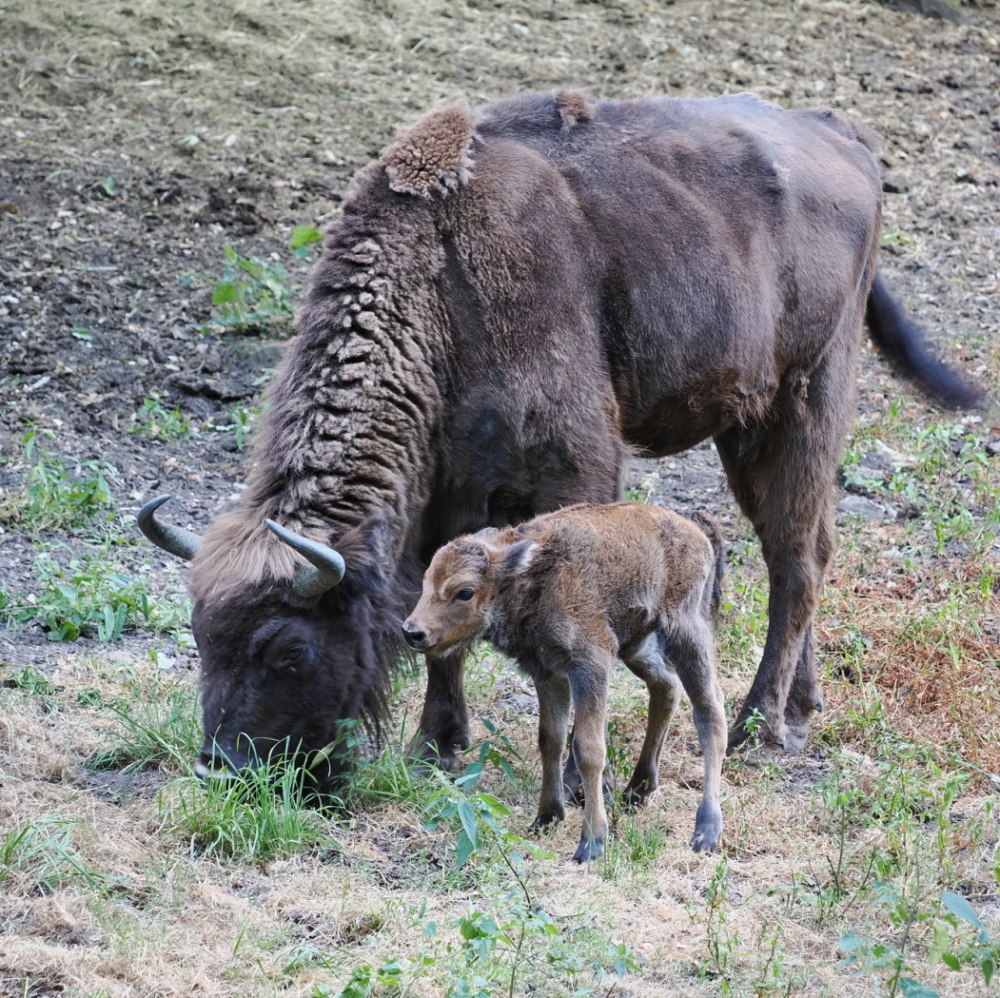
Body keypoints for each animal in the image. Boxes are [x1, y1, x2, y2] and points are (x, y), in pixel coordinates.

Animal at [139, 88, 976, 788]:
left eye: (289, 648)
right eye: (201, 637)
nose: (224, 766)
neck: (440, 281)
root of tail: (845, 135)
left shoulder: (574, 468)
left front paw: (573, 770)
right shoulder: (448, 496)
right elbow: (439, 614)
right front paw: (437, 744)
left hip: (804, 399)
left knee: (796, 560)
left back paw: (758, 728)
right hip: (751, 428)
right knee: (804, 551)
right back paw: (803, 710)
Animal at [400, 504, 728, 864]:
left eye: (465, 592)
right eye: (427, 580)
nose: (413, 632)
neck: (532, 577)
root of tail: (696, 533)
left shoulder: (590, 667)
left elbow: (588, 748)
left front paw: (592, 842)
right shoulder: (548, 674)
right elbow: (551, 739)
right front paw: (545, 817)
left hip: (686, 633)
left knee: (709, 711)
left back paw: (706, 831)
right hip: (637, 646)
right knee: (666, 688)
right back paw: (637, 791)